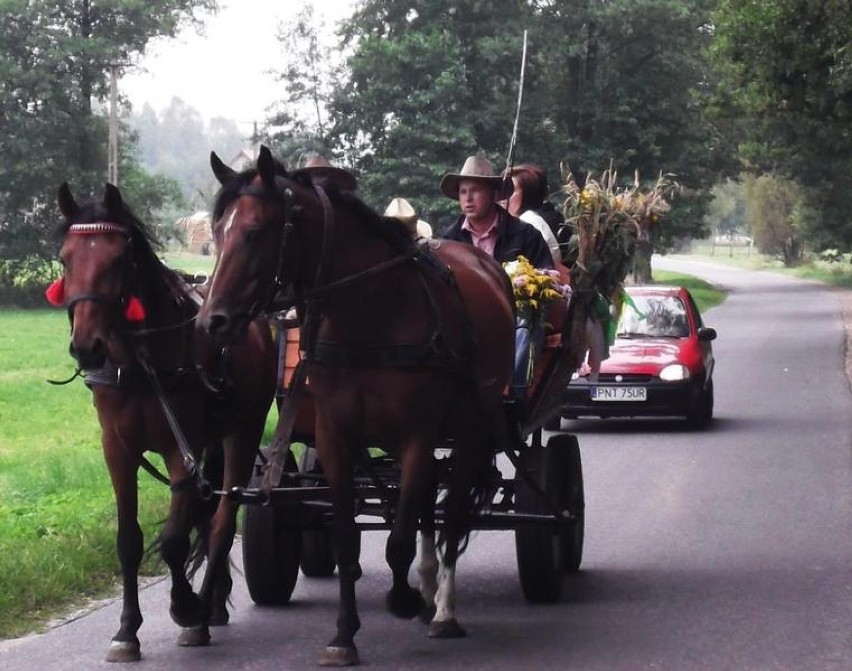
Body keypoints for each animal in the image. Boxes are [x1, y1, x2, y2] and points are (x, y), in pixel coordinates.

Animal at [49, 182, 276, 660]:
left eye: (119, 259)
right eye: (65, 258)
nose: (87, 346)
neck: (143, 360)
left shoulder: (179, 447)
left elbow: (174, 540)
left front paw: (186, 606)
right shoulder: (117, 450)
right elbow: (128, 541)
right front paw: (126, 631)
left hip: (242, 432)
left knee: (222, 520)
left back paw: (203, 610)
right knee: (209, 518)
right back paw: (215, 603)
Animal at [199, 146, 516, 668]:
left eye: (254, 231)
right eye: (217, 231)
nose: (212, 321)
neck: (372, 312)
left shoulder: (416, 433)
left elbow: (399, 538)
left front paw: (403, 599)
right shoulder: (336, 434)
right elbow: (349, 537)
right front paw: (344, 634)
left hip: (472, 427)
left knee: (451, 515)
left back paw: (442, 608)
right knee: (427, 501)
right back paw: (427, 585)